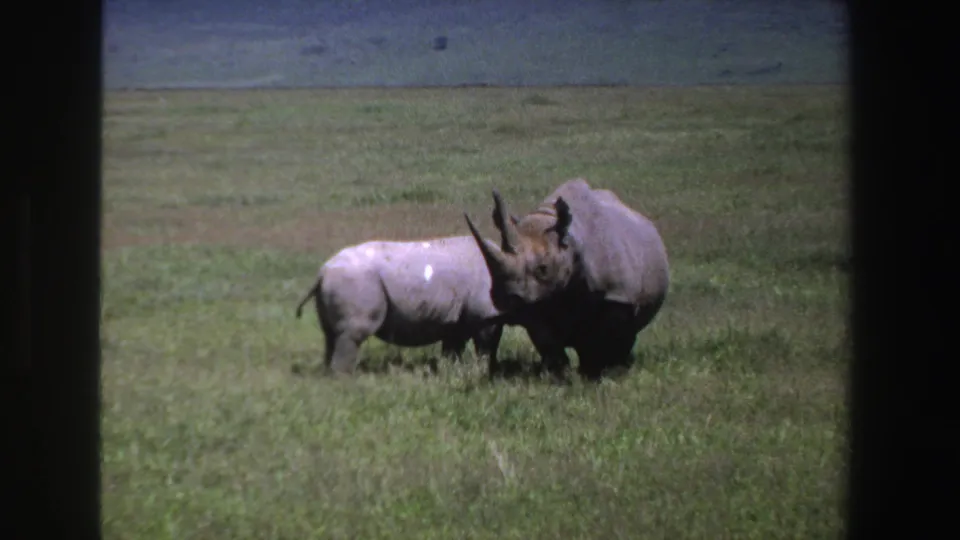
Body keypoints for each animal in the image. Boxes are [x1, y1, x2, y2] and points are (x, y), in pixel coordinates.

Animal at [292, 235, 512, 376]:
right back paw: (345, 380)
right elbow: (487, 346)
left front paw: (452, 371)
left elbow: (454, 349)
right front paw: (485, 371)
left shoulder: (458, 320)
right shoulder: (485, 315)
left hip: (340, 281)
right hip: (354, 280)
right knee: (352, 334)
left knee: (330, 335)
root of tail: (322, 273)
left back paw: (329, 376)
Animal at [463, 178, 670, 381]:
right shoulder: (535, 300)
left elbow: (609, 335)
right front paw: (557, 376)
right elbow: (547, 340)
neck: (570, 243)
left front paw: (606, 373)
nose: (504, 299)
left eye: (543, 269)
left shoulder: (618, 294)